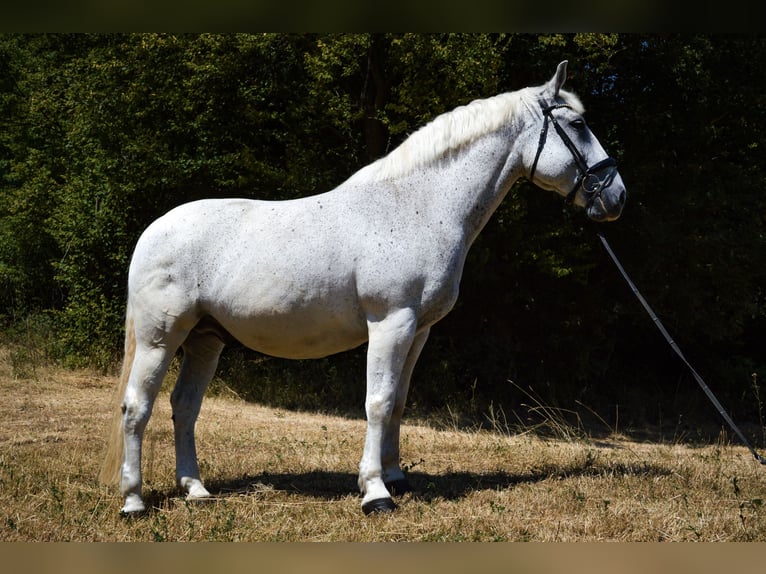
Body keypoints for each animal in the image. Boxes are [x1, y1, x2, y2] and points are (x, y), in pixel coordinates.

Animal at [100, 61, 626, 515]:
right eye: (577, 124)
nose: (616, 196)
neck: (416, 205)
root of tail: (152, 232)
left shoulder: (418, 331)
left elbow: (398, 402)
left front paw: (396, 477)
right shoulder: (390, 322)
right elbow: (377, 401)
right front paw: (375, 493)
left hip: (205, 339)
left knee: (184, 408)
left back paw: (196, 490)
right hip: (160, 337)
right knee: (136, 407)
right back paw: (134, 502)